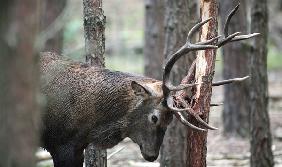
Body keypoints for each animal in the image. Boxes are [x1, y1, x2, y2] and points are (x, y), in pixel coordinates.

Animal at [39, 4, 258, 167]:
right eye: (154, 117)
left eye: (170, 121)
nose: (152, 156)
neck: (88, 121)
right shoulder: (61, 144)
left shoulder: (77, 147)